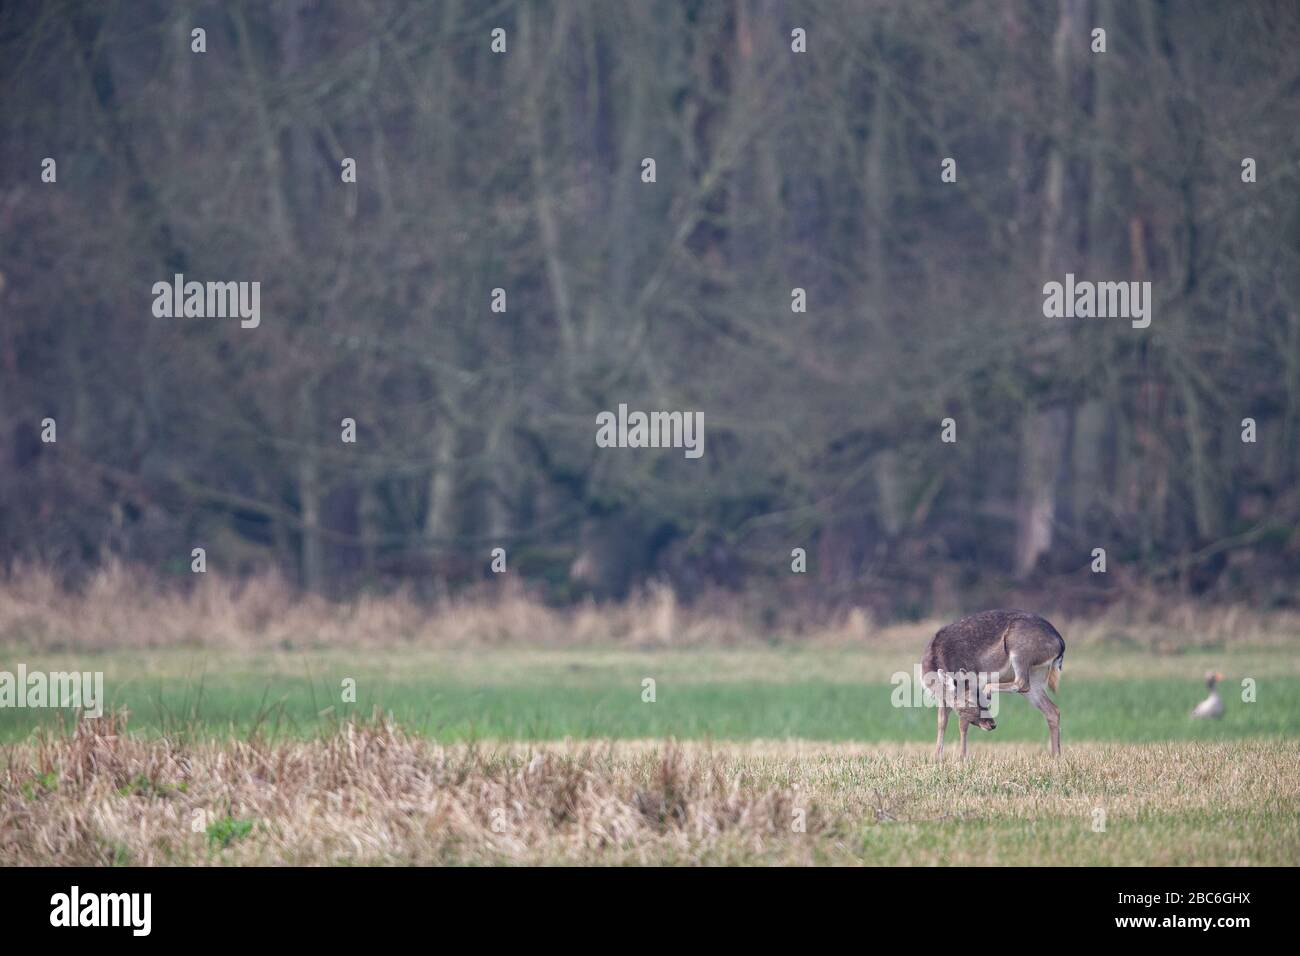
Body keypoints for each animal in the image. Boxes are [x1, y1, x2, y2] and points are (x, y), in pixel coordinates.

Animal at [920, 613, 1060, 764]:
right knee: (1052, 710)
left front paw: (962, 758)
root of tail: (1060, 644)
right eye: (970, 701)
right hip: (1036, 677)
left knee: (1022, 683)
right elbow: (941, 722)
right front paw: (936, 758)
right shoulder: (942, 697)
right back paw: (1056, 756)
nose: (992, 724)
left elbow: (962, 724)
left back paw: (988, 689)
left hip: (1020, 652)